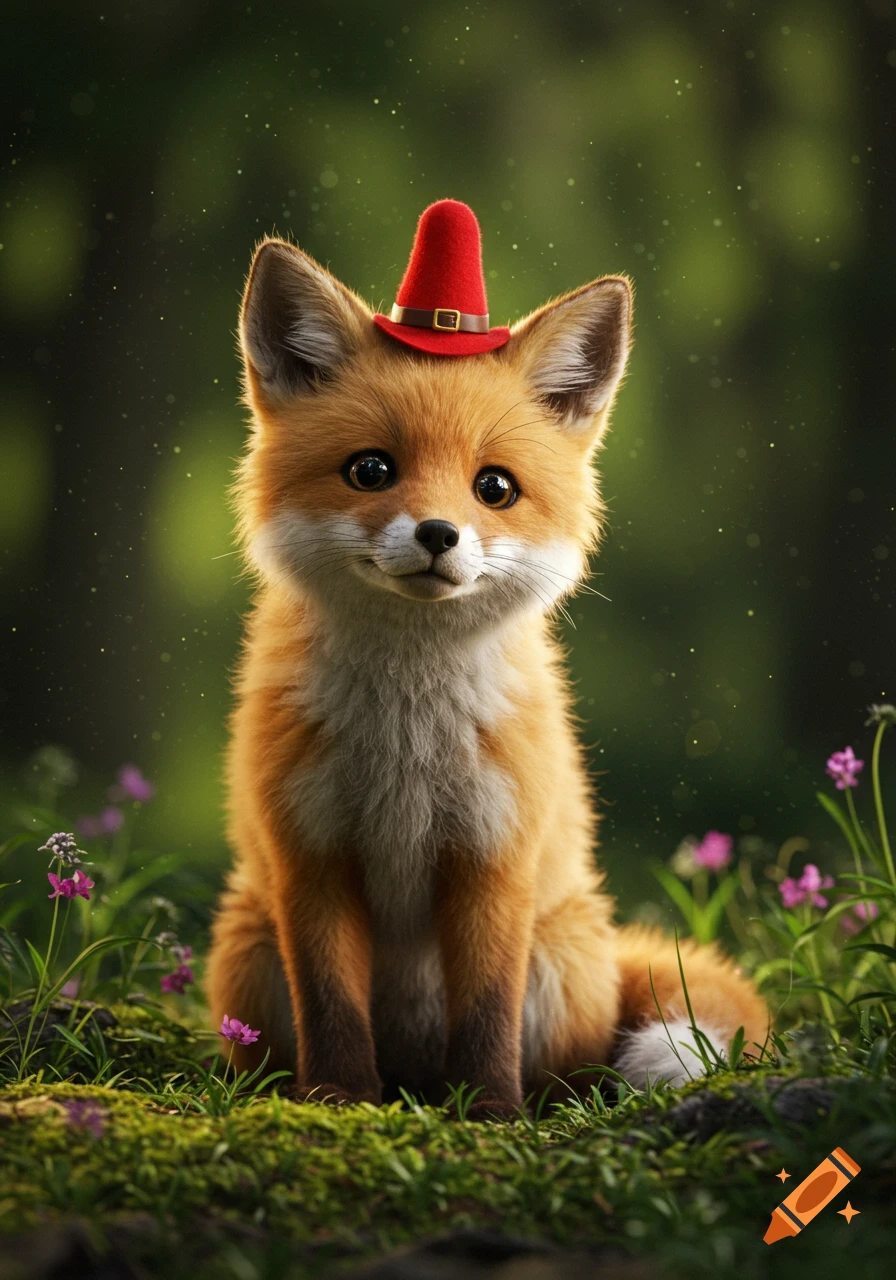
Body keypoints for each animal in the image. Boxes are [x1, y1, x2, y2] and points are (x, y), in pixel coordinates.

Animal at [206, 201, 769, 1120]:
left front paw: (489, 1112)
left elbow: (486, 1011)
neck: (405, 742)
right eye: (371, 470)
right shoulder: (310, 856)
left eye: (494, 488)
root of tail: (409, 1064)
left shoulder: (493, 858)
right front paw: (337, 1099)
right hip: (248, 959)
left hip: (557, 964)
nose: (439, 533)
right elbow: (331, 1003)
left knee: (567, 1068)